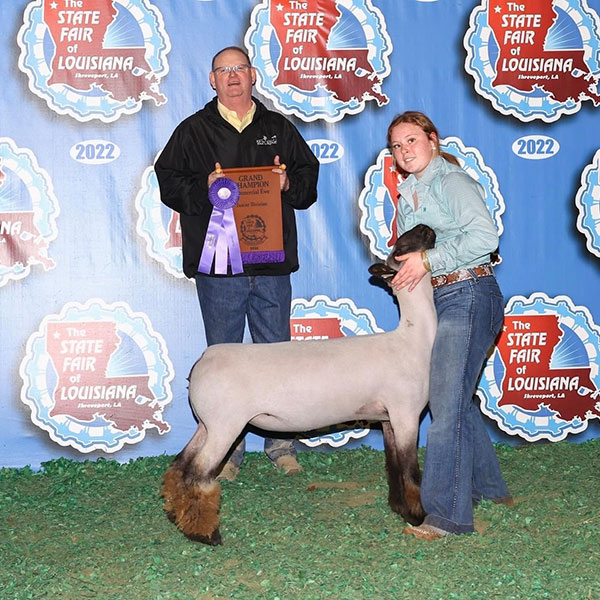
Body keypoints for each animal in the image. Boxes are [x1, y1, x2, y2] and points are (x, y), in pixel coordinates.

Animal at [162, 224, 438, 544]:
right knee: (198, 473)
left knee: (180, 465)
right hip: (225, 426)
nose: (425, 227)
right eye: (401, 248)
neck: (413, 339)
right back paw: (205, 533)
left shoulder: (388, 418)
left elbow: (393, 466)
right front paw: (417, 516)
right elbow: (410, 470)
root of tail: (203, 359)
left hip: (207, 424)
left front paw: (399, 508)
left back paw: (175, 515)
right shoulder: (406, 413)